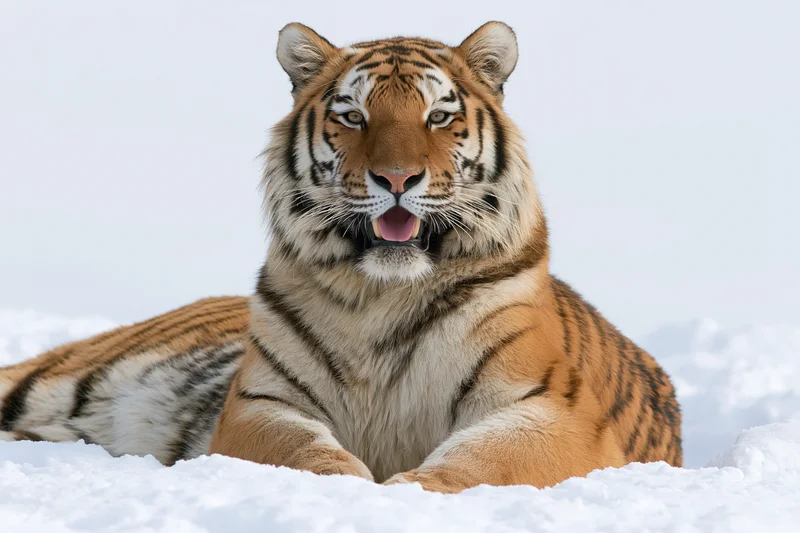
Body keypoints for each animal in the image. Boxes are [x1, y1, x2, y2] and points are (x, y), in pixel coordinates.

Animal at [0, 21, 682, 493]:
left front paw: (411, 491)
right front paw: (353, 488)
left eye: (439, 115)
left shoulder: (552, 408)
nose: (397, 178)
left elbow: (484, 458)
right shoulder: (260, 402)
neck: (382, 292)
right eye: (353, 115)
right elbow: (303, 452)